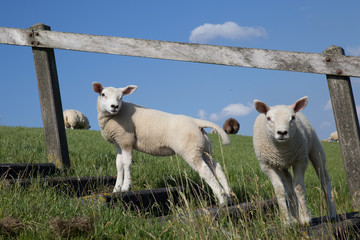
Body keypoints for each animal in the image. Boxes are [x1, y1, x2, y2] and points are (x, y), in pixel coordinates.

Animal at [92, 82, 231, 204]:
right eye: (103, 94)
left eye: (121, 97)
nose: (114, 106)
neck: (117, 114)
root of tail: (197, 122)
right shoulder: (119, 143)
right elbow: (119, 165)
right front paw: (116, 189)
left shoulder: (127, 140)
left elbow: (127, 163)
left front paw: (126, 187)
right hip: (204, 148)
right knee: (216, 167)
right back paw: (228, 195)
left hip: (191, 150)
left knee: (205, 171)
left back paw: (221, 200)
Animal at [252, 96, 336, 225]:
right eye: (269, 118)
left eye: (292, 118)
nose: (282, 132)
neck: (282, 151)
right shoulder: (267, 166)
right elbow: (280, 190)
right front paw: (286, 221)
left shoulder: (300, 161)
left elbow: (299, 188)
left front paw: (305, 218)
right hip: (282, 167)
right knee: (289, 188)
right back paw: (295, 219)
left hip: (316, 151)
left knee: (324, 181)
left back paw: (331, 213)